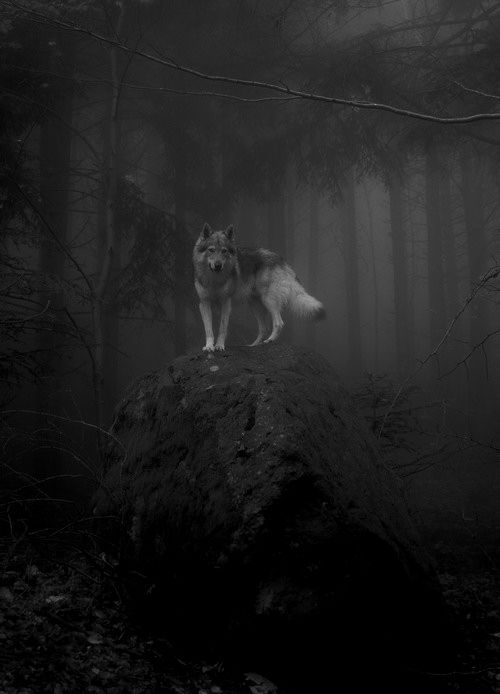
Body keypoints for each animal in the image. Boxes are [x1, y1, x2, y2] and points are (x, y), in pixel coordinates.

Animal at [193, 223, 325, 352]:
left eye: (224, 251)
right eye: (211, 250)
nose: (218, 265)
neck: (214, 279)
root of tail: (281, 260)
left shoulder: (226, 302)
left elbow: (222, 328)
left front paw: (219, 346)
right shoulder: (204, 303)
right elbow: (208, 329)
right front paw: (209, 346)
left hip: (268, 300)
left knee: (279, 323)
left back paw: (269, 340)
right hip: (254, 305)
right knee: (264, 328)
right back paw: (253, 345)